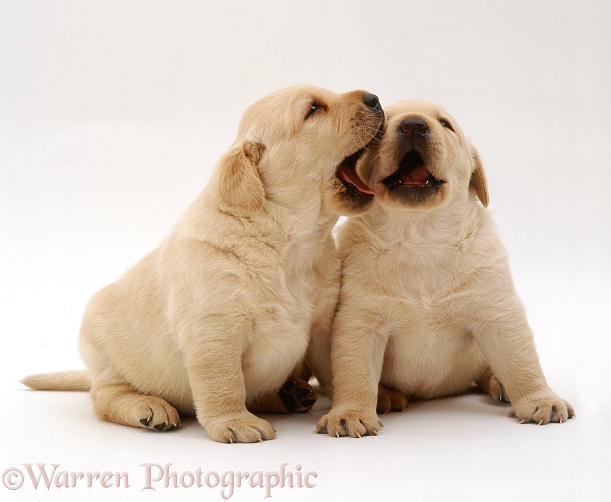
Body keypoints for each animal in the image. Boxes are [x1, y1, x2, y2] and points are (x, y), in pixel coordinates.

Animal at [25, 85, 388, 444]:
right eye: (313, 109)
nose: (375, 98)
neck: (288, 247)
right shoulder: (214, 331)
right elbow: (225, 383)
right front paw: (235, 423)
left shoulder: (325, 326)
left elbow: (347, 368)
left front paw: (359, 406)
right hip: (104, 353)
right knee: (105, 397)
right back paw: (149, 407)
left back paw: (290, 395)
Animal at [318, 100, 576, 438]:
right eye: (383, 126)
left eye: (445, 124)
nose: (414, 125)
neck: (420, 237)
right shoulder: (361, 323)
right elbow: (354, 372)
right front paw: (350, 413)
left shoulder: (498, 313)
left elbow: (522, 361)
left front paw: (540, 399)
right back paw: (386, 395)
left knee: (486, 369)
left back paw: (499, 383)